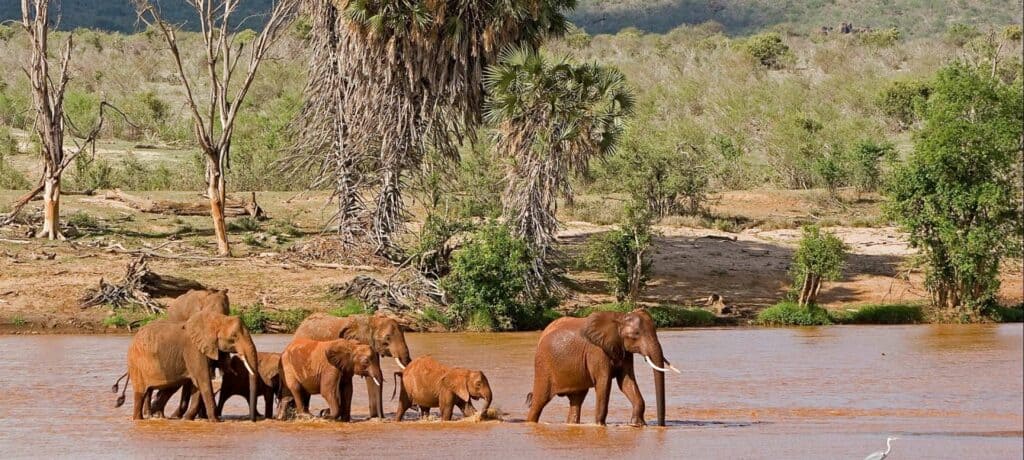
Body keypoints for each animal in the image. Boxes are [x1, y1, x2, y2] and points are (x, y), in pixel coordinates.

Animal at [116, 309, 262, 422]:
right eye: (234, 337)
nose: (253, 420)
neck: (217, 319)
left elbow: (196, 384)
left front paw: (187, 419)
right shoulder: (193, 350)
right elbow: (203, 380)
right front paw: (216, 421)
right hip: (136, 364)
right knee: (141, 393)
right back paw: (139, 419)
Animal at [528, 307, 679, 424]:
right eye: (635, 334)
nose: (661, 426)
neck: (620, 318)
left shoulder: (623, 349)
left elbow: (626, 382)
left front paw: (637, 424)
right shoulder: (597, 351)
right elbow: (604, 383)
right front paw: (600, 425)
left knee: (576, 400)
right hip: (543, 366)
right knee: (539, 401)